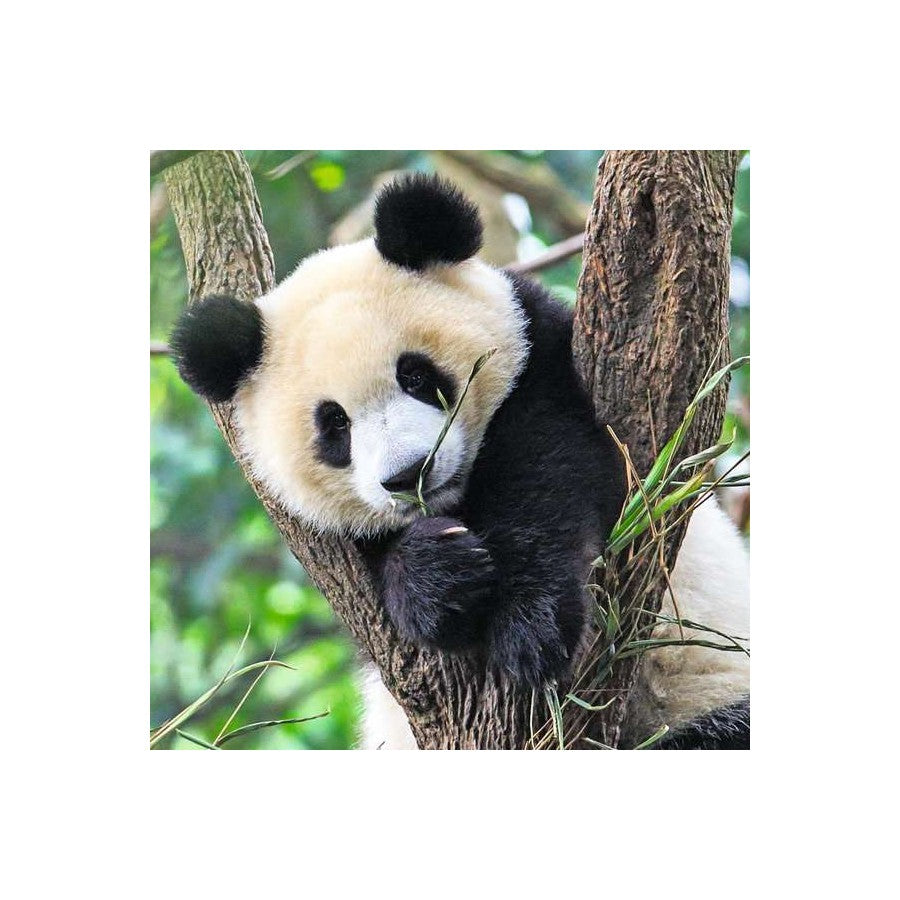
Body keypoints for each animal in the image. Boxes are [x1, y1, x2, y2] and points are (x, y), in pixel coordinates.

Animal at [171, 173, 750, 750]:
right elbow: (378, 583)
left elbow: (553, 473)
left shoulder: (545, 362)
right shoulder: (335, 550)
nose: (409, 474)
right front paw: (437, 575)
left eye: (416, 376)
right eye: (334, 424)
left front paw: (531, 628)